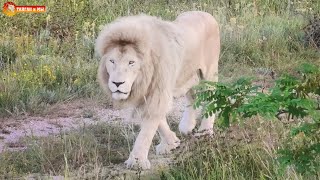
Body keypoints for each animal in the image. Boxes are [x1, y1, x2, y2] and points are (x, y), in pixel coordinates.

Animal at [95, 10, 220, 169]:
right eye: (112, 61)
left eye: (131, 62)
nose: (117, 83)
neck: (142, 77)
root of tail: (207, 14)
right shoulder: (143, 93)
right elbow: (157, 120)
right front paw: (172, 143)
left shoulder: (158, 90)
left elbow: (148, 128)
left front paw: (137, 161)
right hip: (188, 73)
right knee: (192, 95)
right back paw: (186, 126)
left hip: (209, 72)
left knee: (212, 99)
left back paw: (205, 132)